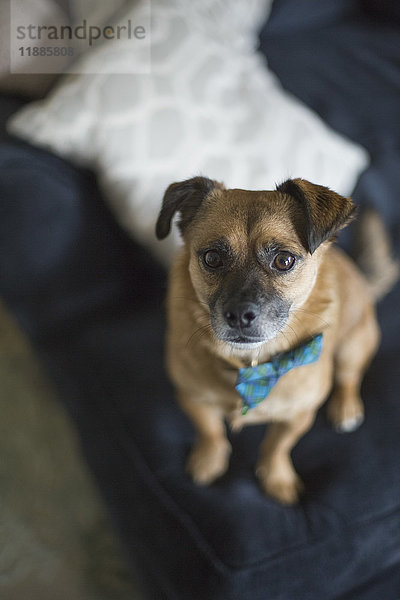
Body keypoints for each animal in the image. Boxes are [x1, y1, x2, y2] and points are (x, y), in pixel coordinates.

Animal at [155, 176, 394, 504]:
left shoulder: (298, 416)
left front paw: (276, 478)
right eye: (212, 258)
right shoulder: (192, 398)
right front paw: (209, 460)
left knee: (348, 378)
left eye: (284, 260)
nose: (239, 315)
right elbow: (210, 431)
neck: (252, 366)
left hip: (353, 346)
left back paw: (346, 408)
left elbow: (276, 446)